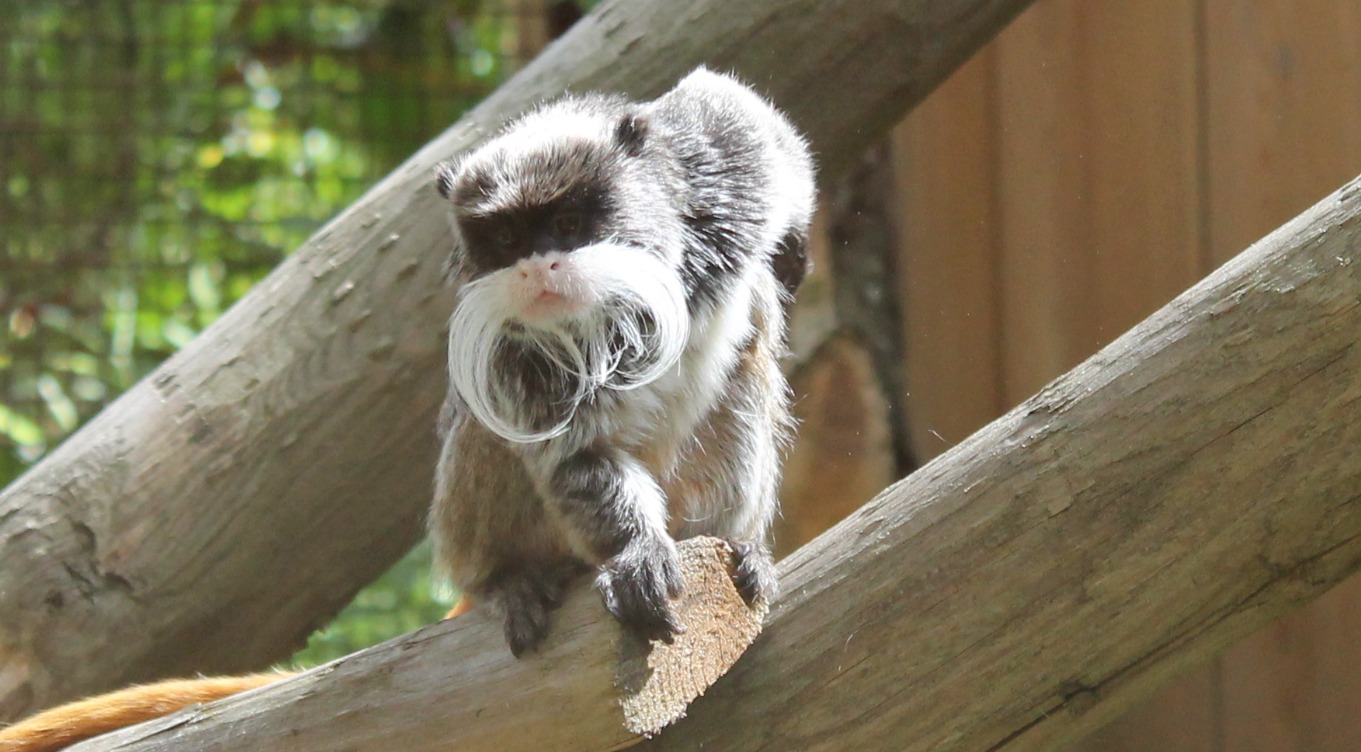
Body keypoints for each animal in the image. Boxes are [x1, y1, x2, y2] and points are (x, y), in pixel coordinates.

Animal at [0, 67, 811, 745]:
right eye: (507, 239)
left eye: (569, 225)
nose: (540, 266)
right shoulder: (508, 346)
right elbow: (572, 457)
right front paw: (634, 551)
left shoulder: (715, 185)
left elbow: (740, 120)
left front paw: (796, 240)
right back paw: (506, 579)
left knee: (749, 357)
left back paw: (732, 542)